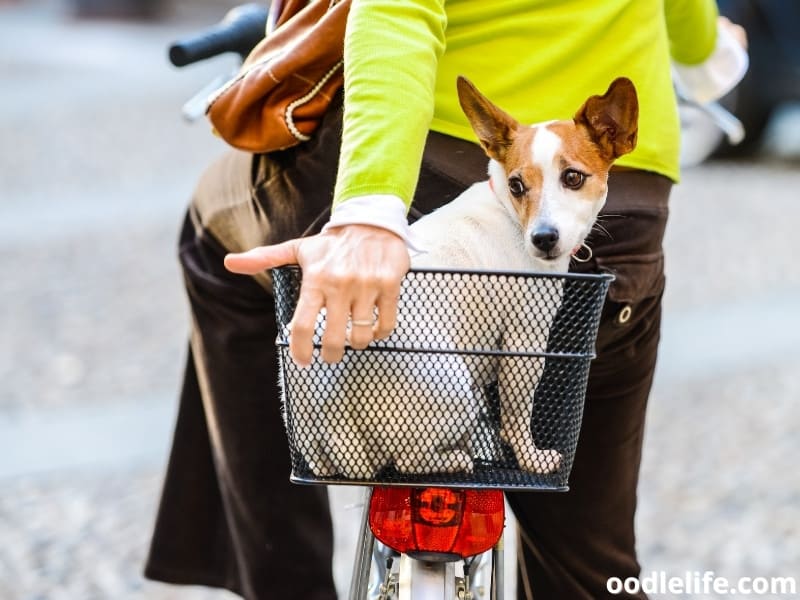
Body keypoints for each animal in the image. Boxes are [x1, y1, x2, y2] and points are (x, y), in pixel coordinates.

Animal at [282, 76, 636, 478]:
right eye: (517, 186)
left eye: (573, 178)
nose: (543, 238)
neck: (509, 213)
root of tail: (325, 411)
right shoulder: (524, 343)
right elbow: (516, 418)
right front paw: (530, 457)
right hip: (455, 388)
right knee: (408, 460)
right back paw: (455, 459)